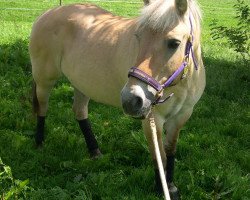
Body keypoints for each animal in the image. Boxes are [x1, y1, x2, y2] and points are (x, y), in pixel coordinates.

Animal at [29, 0, 205, 198]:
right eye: (138, 37)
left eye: (174, 43)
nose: (131, 99)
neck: (181, 83)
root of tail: (48, 12)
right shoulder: (152, 119)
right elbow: (159, 154)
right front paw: (162, 188)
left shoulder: (181, 116)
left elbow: (170, 150)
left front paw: (171, 186)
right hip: (44, 80)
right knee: (42, 108)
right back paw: (39, 143)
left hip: (82, 84)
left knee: (80, 112)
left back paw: (95, 151)